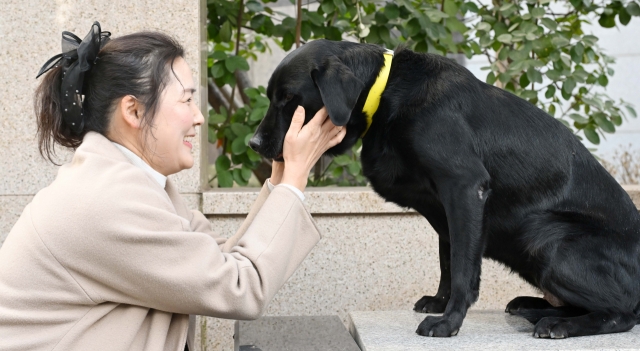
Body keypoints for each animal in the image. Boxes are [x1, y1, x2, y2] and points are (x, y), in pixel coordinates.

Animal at [249, 40, 640, 340]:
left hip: (545, 239)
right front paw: (440, 302)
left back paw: (559, 324)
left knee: (622, 312)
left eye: (288, 99)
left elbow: (464, 268)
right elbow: (448, 261)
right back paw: (534, 307)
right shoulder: (443, 207)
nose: (253, 144)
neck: (387, 93)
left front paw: (449, 322)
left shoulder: (464, 187)